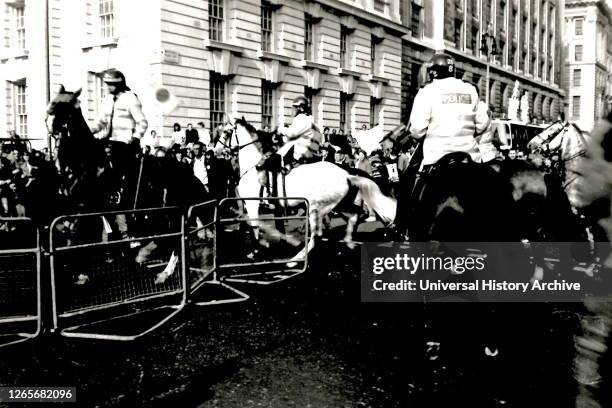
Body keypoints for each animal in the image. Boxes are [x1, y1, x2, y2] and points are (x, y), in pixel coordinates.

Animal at [226, 116, 396, 262]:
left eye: (226, 132)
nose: (224, 150)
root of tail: (347, 173)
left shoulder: (252, 203)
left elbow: (253, 226)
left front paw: (255, 251)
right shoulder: (274, 207)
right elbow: (273, 227)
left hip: (317, 208)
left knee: (317, 235)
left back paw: (297, 259)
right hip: (341, 205)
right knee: (354, 217)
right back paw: (349, 242)